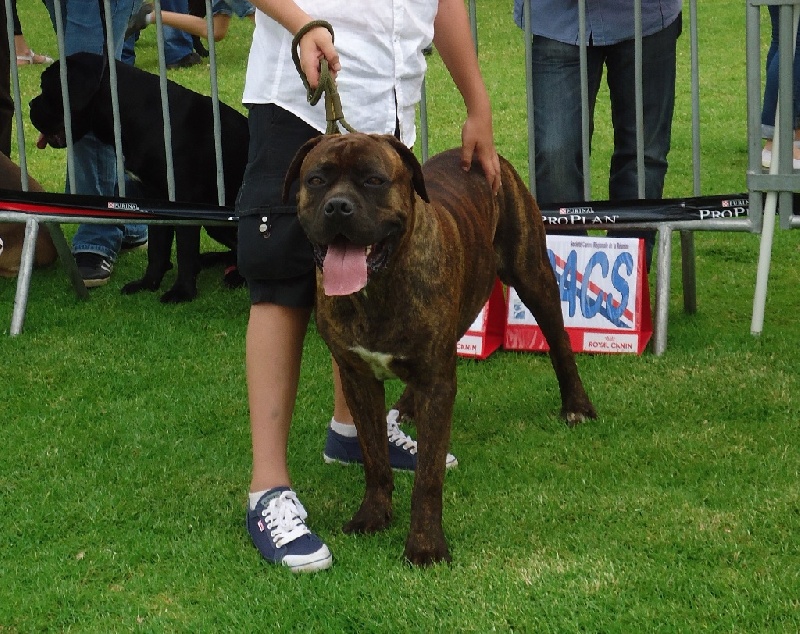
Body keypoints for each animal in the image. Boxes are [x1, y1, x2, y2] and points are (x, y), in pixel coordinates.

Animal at [29, 52, 248, 302]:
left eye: (46, 87)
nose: (30, 104)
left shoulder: (184, 199)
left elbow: (184, 249)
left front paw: (181, 292)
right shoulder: (154, 198)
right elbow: (157, 248)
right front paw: (148, 283)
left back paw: (235, 276)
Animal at [285, 133, 597, 566]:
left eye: (374, 180)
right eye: (316, 180)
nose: (338, 206)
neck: (376, 288)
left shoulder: (436, 380)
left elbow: (428, 477)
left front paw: (425, 544)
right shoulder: (358, 379)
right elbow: (374, 458)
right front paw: (373, 514)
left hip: (533, 275)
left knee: (560, 343)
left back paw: (576, 405)